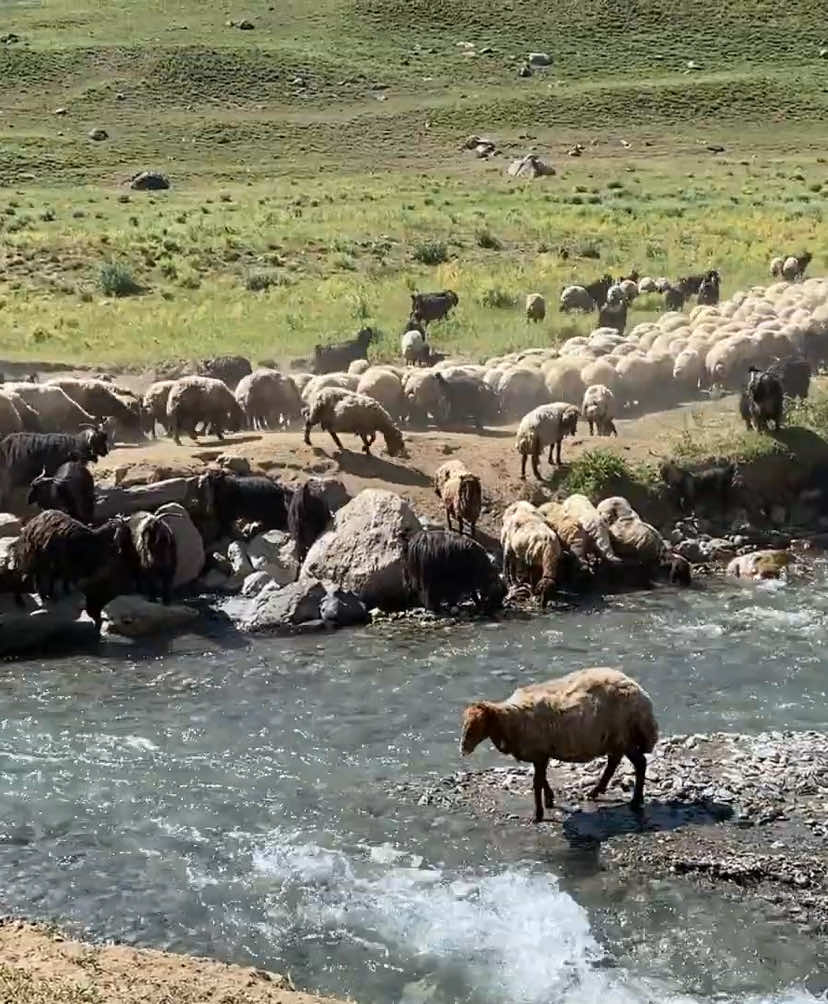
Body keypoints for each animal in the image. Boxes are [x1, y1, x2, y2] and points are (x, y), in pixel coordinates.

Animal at [459, 666, 658, 823]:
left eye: (477, 725)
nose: (462, 749)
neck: (510, 720)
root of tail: (642, 694)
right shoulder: (541, 753)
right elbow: (542, 779)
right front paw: (549, 800)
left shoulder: (539, 752)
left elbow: (537, 782)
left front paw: (538, 814)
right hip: (615, 738)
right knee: (614, 761)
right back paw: (596, 791)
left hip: (625, 736)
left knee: (640, 763)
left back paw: (635, 801)